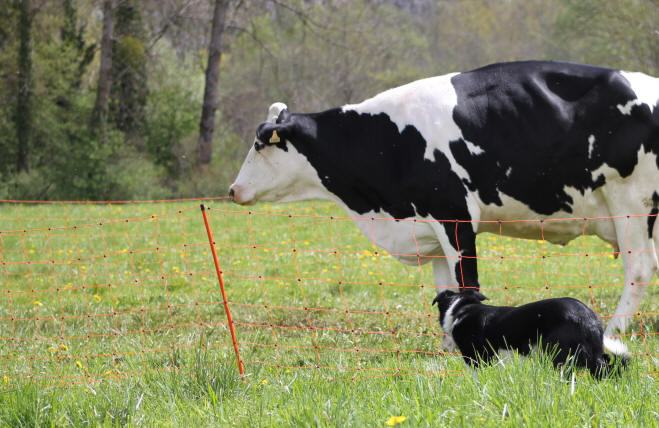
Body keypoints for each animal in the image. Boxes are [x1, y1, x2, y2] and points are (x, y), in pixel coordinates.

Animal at [228, 60, 659, 342]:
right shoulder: (430, 229)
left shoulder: (454, 215)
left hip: (630, 200)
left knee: (639, 270)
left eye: (259, 145)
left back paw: (613, 330)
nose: (233, 190)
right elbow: (445, 289)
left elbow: (467, 284)